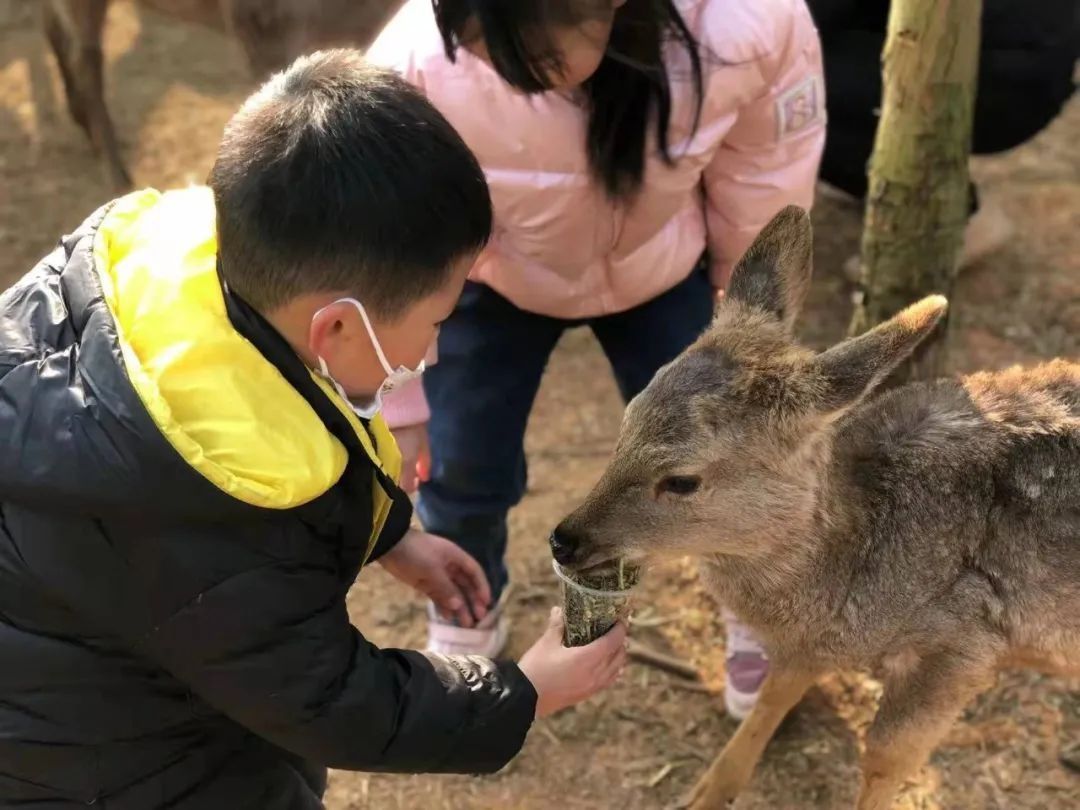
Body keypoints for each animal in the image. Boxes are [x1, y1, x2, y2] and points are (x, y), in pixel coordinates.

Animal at [552, 206, 1075, 807]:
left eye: (682, 480)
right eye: (627, 417)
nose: (564, 540)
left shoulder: (966, 639)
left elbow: (886, 758)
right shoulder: (809, 644)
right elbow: (773, 696)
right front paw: (705, 793)